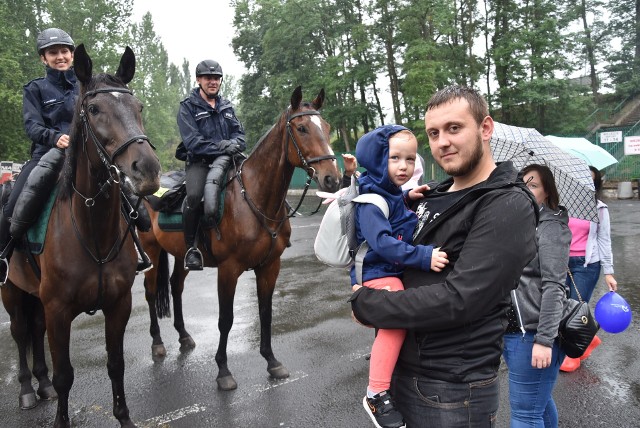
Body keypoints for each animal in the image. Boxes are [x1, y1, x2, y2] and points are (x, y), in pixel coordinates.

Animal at [1, 44, 161, 428]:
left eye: (138, 107)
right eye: (94, 109)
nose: (147, 169)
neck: (92, 229)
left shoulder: (118, 304)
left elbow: (115, 365)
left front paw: (124, 418)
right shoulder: (59, 311)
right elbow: (65, 376)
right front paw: (61, 419)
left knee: (35, 330)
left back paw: (41, 385)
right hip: (12, 293)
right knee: (20, 333)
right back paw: (27, 390)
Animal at [139, 85, 340, 390]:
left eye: (327, 127)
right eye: (302, 128)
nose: (333, 178)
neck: (254, 199)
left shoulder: (270, 266)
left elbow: (266, 313)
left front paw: (272, 362)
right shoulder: (229, 269)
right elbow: (226, 319)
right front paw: (223, 371)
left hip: (181, 255)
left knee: (175, 286)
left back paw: (184, 337)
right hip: (151, 251)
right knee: (151, 293)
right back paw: (157, 344)